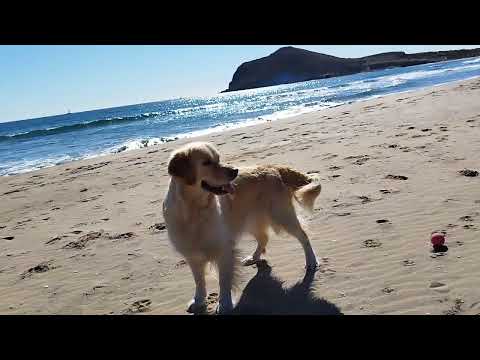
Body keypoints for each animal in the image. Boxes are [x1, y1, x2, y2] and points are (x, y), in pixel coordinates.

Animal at [162, 142, 322, 314]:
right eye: (206, 163)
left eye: (218, 158)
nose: (234, 171)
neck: (194, 210)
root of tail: (272, 167)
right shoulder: (192, 254)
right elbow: (199, 281)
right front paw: (198, 300)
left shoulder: (224, 250)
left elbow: (224, 281)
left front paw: (224, 303)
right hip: (252, 220)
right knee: (264, 237)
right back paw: (254, 257)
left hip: (281, 216)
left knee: (303, 236)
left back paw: (311, 261)